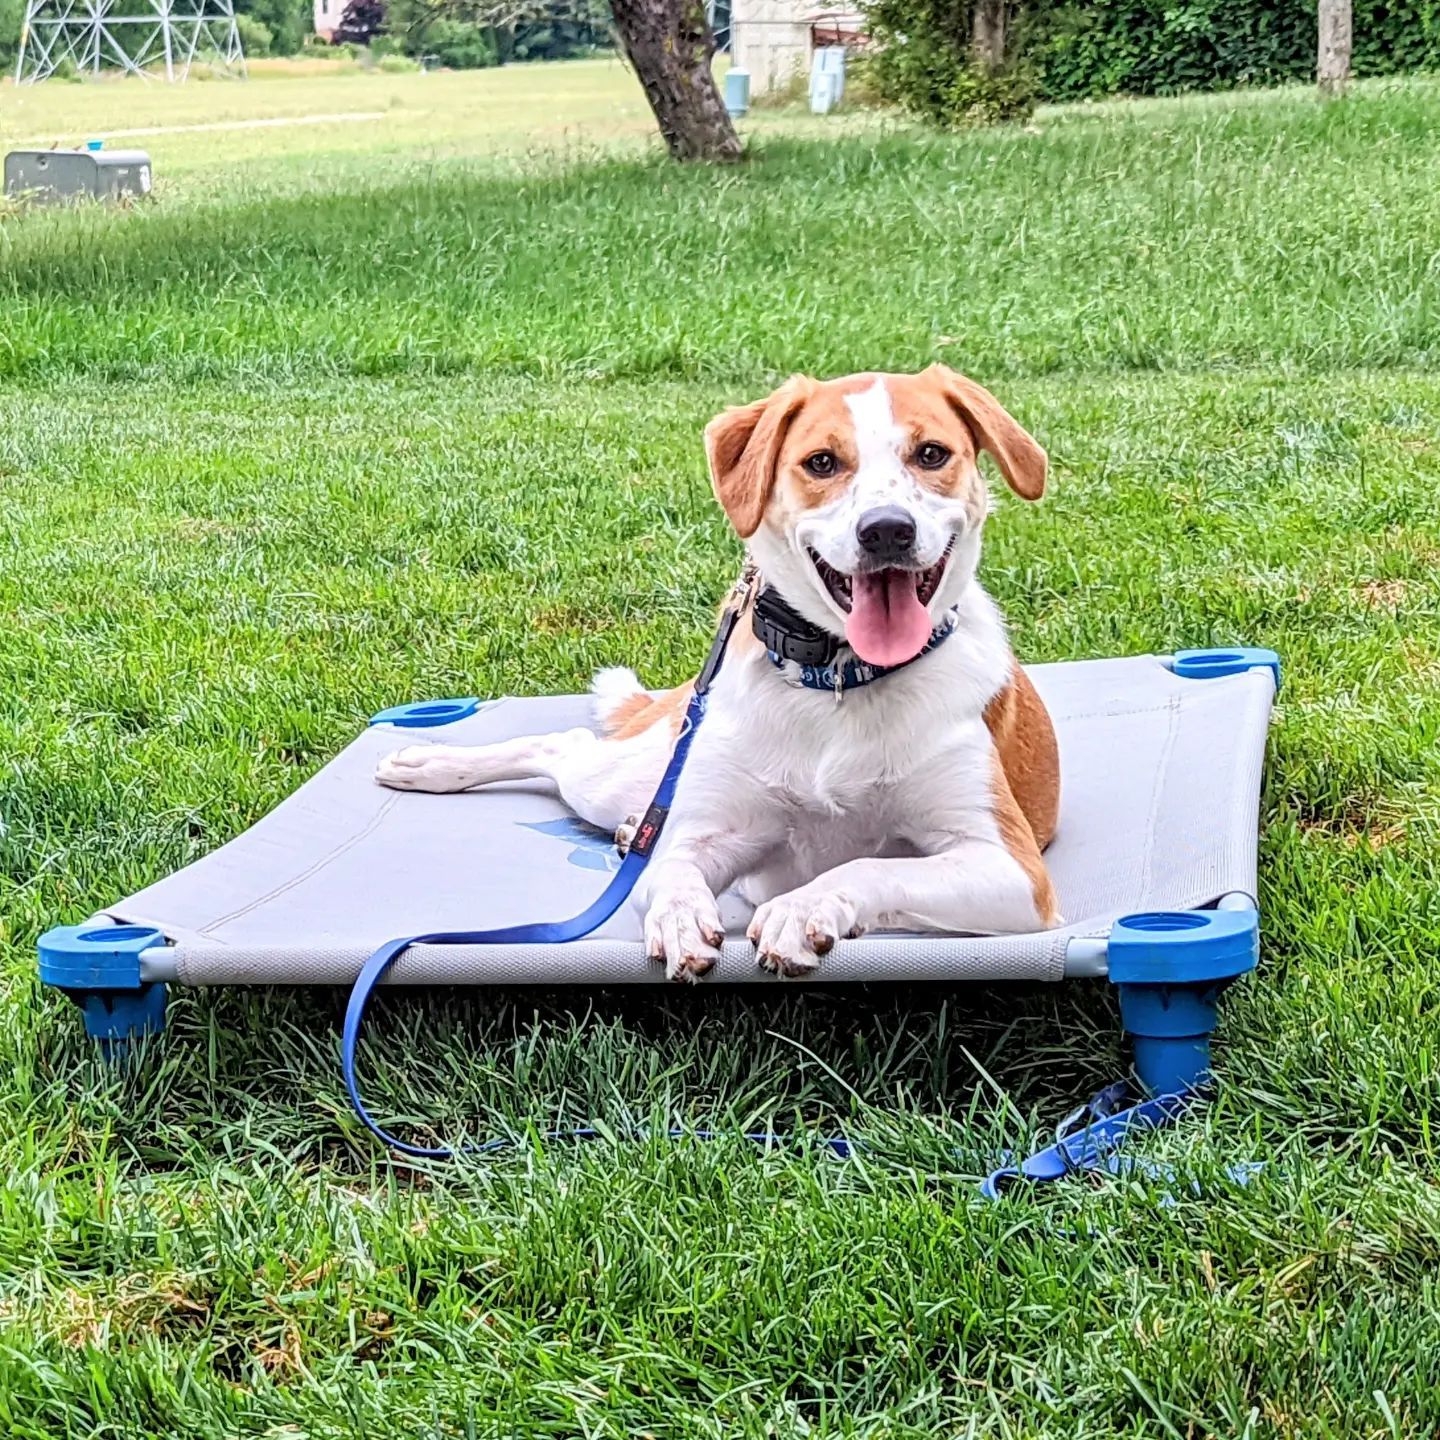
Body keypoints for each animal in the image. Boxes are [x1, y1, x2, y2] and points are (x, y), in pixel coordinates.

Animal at [377, 365, 1065, 984]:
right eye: (821, 463)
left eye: (931, 454)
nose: (887, 530)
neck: (841, 684)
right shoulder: (712, 834)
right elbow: (672, 870)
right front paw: (679, 916)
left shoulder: (1012, 871)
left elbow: (868, 867)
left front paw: (801, 906)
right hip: (634, 773)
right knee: (565, 746)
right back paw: (432, 764)